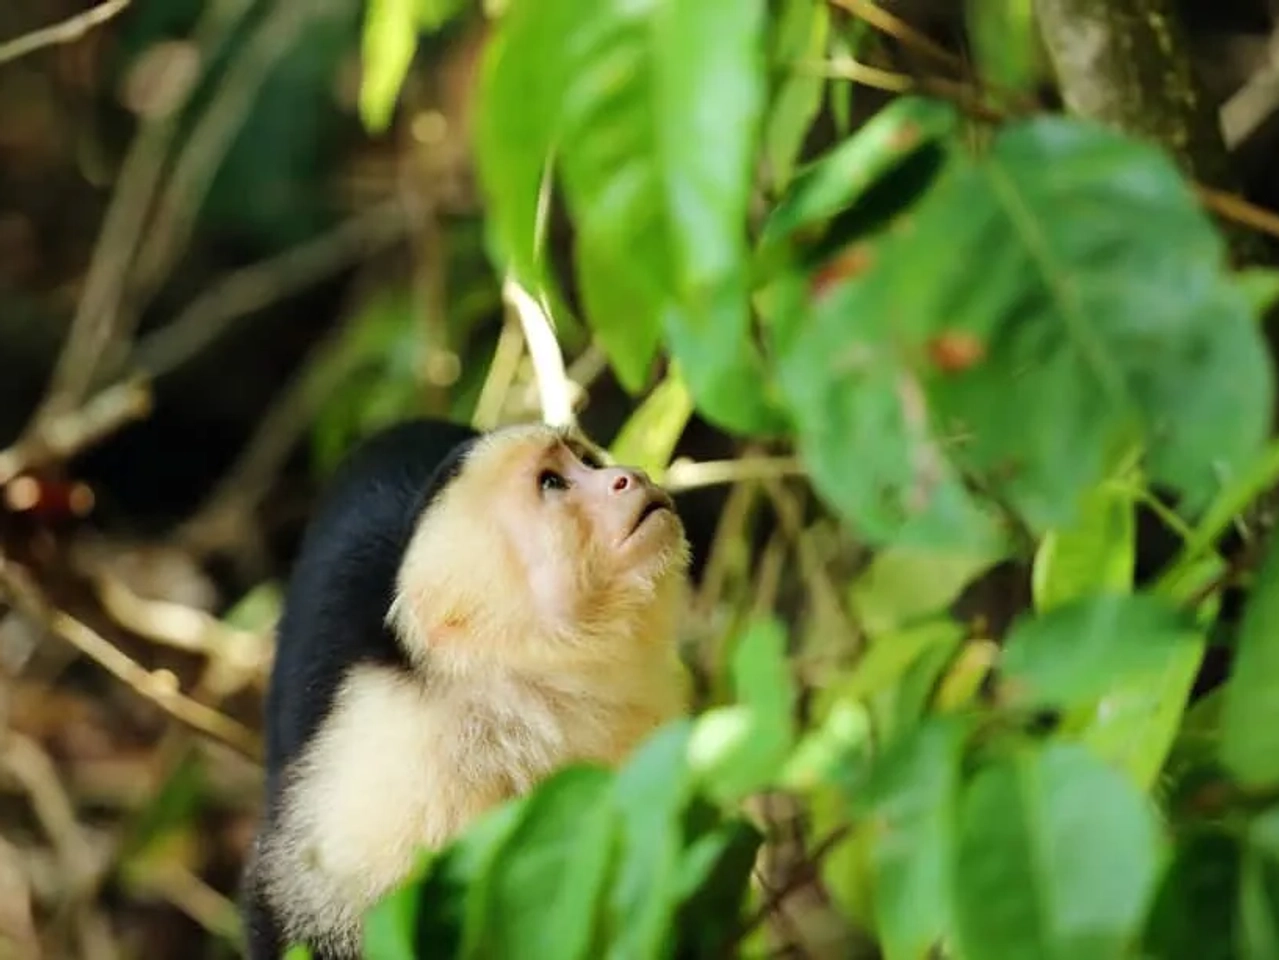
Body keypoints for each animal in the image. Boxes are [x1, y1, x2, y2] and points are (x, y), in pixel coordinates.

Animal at [240, 417, 692, 960]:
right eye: (552, 483)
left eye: (587, 461)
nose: (628, 476)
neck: (513, 694)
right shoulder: (402, 758)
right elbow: (301, 909)